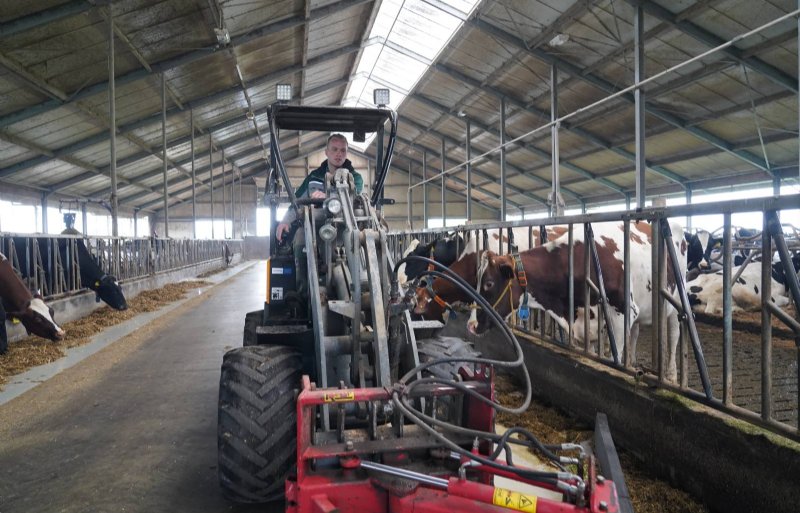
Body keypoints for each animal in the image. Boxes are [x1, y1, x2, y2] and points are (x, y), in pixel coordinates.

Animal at [476, 220, 688, 380]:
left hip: (676, 299)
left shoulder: (623, 312)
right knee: (635, 333)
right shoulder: (587, 322)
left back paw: (670, 375)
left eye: (488, 283)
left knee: (674, 335)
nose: (471, 324)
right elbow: (592, 352)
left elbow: (617, 354)